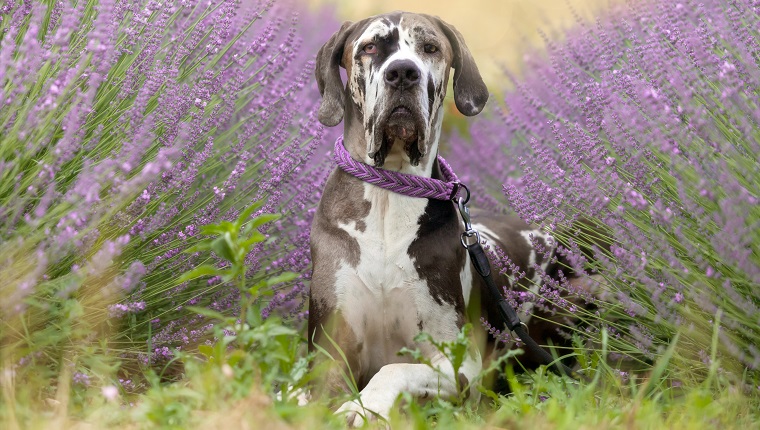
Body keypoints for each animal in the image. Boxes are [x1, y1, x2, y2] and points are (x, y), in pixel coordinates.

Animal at [308, 11, 592, 424]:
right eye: (370, 47)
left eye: (430, 48)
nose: (403, 73)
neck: (389, 194)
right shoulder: (328, 349)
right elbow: (306, 389)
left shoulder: (459, 362)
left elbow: (392, 369)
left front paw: (363, 408)